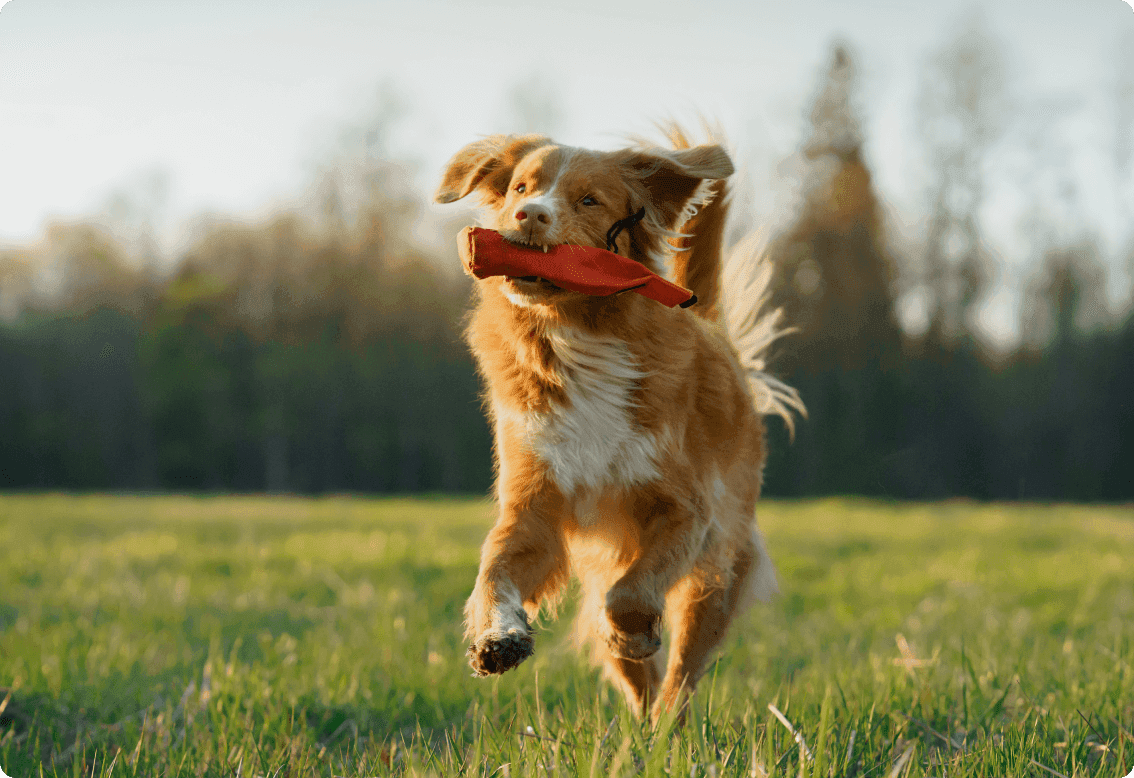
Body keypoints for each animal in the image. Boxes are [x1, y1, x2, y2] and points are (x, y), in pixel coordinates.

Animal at [435, 124, 807, 721]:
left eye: (590, 201)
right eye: (520, 188)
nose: (529, 215)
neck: (576, 334)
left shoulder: (686, 509)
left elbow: (631, 596)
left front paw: (632, 632)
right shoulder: (534, 505)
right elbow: (494, 570)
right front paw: (498, 636)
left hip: (719, 566)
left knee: (680, 673)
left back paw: (667, 722)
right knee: (639, 678)